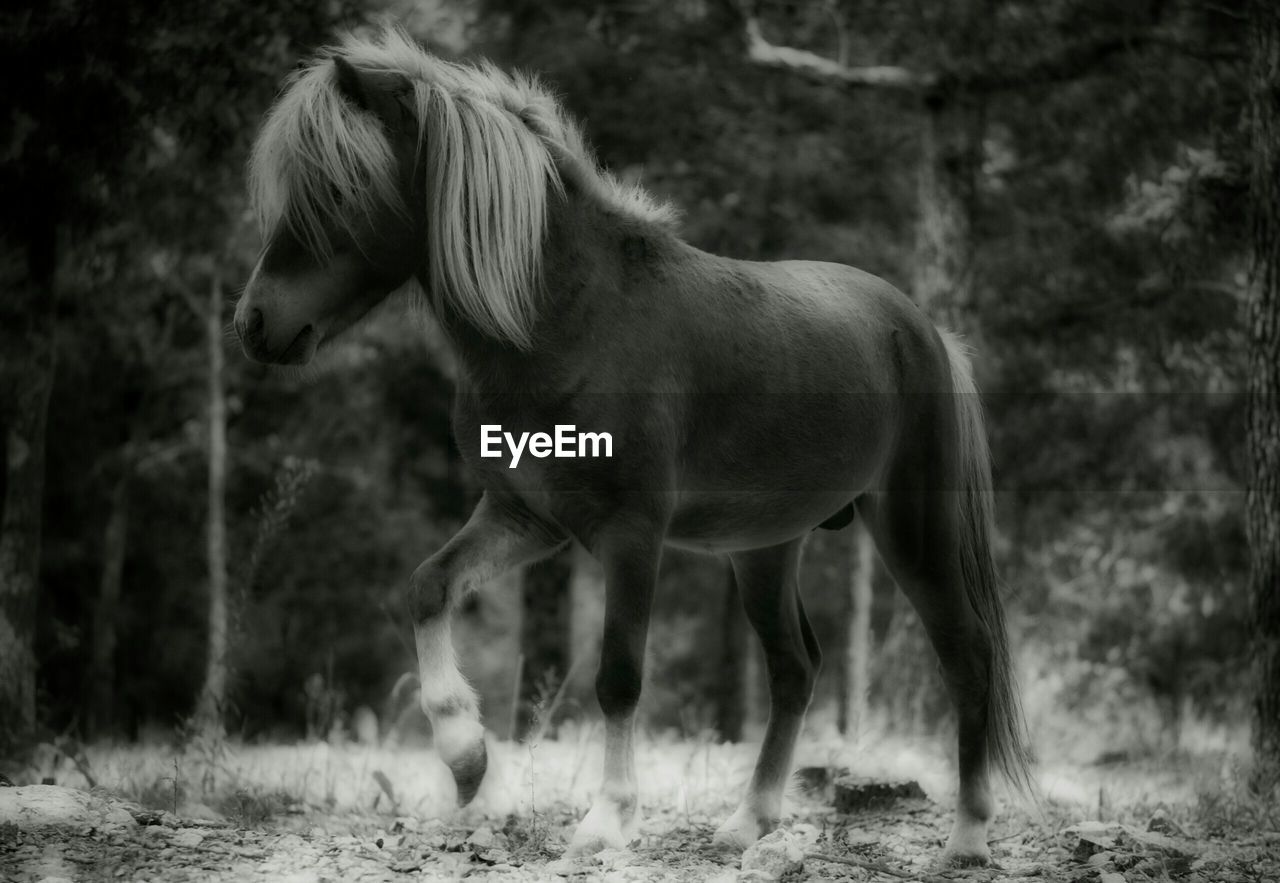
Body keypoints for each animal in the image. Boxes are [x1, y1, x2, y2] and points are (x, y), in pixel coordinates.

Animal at [235, 25, 1034, 859]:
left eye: (336, 189)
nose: (254, 323)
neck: (570, 321)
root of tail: (925, 332)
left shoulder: (630, 534)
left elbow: (617, 674)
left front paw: (609, 817)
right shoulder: (525, 518)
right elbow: (428, 586)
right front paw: (467, 757)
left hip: (915, 529)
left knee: (968, 654)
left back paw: (969, 835)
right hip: (765, 547)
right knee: (794, 667)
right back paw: (748, 820)